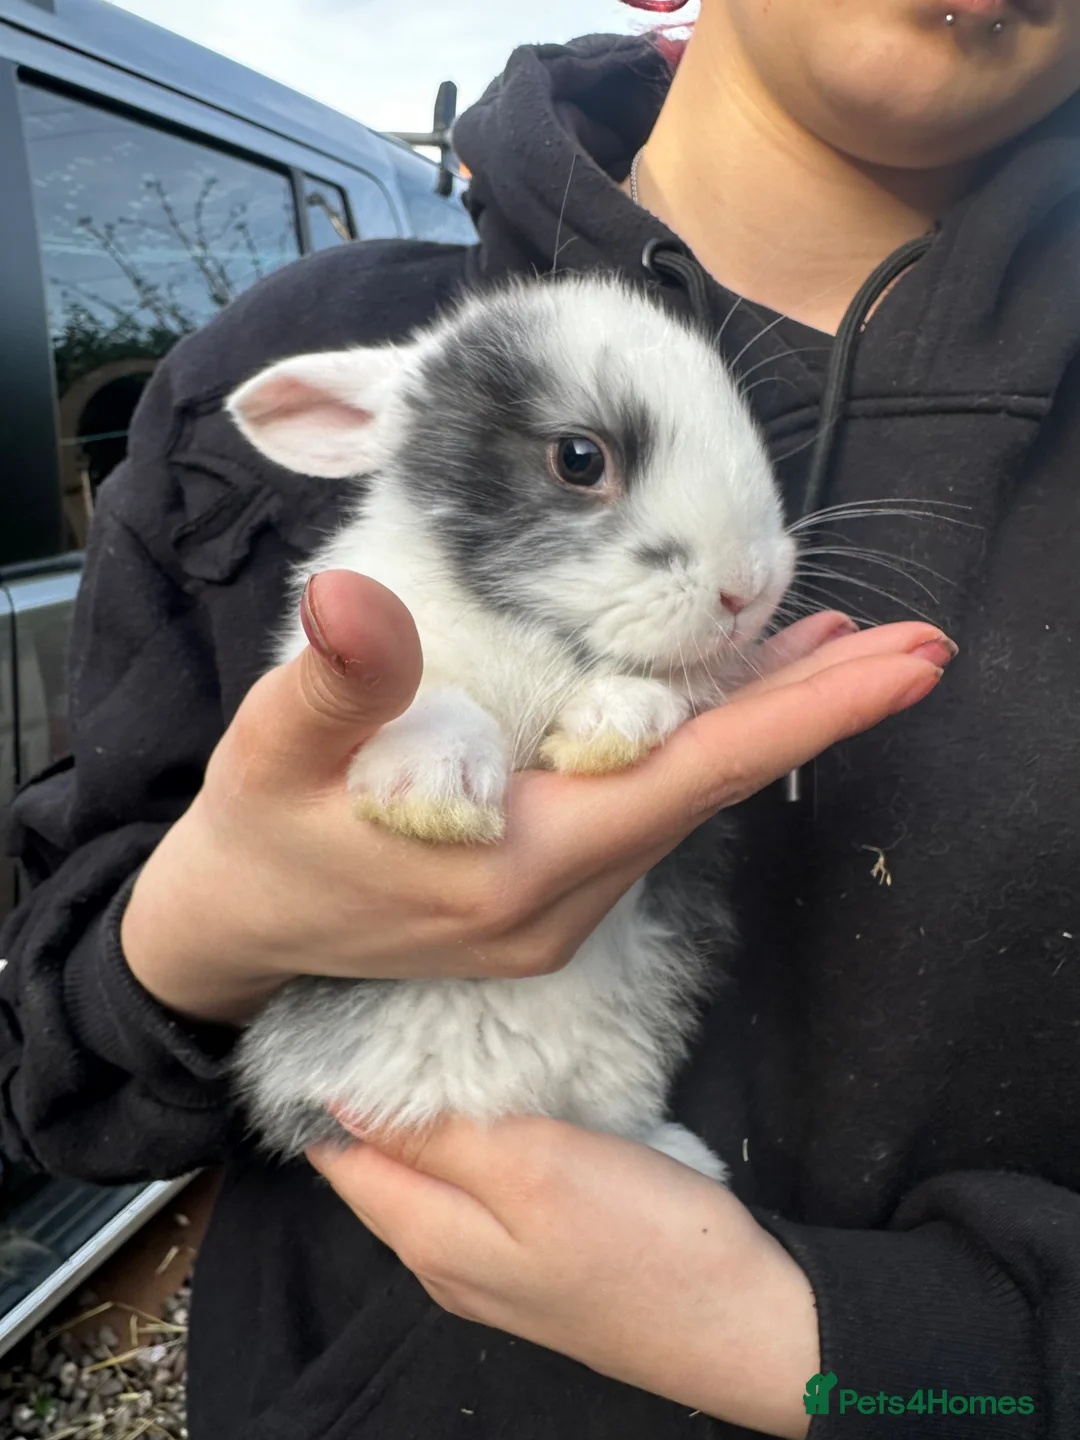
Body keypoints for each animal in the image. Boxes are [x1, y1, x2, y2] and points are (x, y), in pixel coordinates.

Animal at [225, 274, 796, 1181]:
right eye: (579, 458)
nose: (751, 587)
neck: (523, 628)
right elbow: (436, 704)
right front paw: (432, 792)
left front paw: (615, 721)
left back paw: (687, 1160)